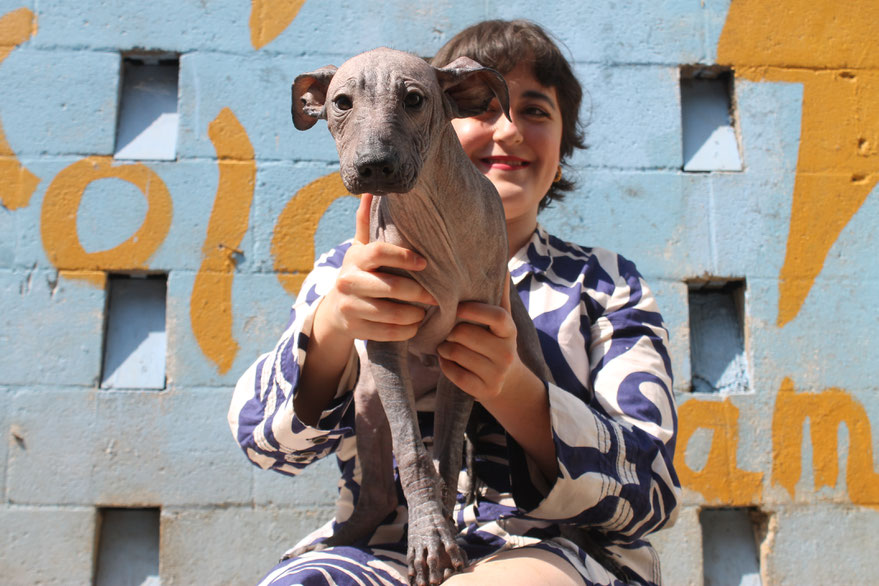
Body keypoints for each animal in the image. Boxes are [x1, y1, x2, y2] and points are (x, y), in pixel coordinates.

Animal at [288, 46, 552, 584]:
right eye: (341, 103)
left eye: (413, 99)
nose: (373, 167)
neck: (436, 220)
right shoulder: (386, 340)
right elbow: (413, 451)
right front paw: (432, 537)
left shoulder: (465, 349)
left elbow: (445, 457)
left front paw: (438, 540)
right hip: (369, 398)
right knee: (376, 496)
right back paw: (337, 541)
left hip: (527, 367)